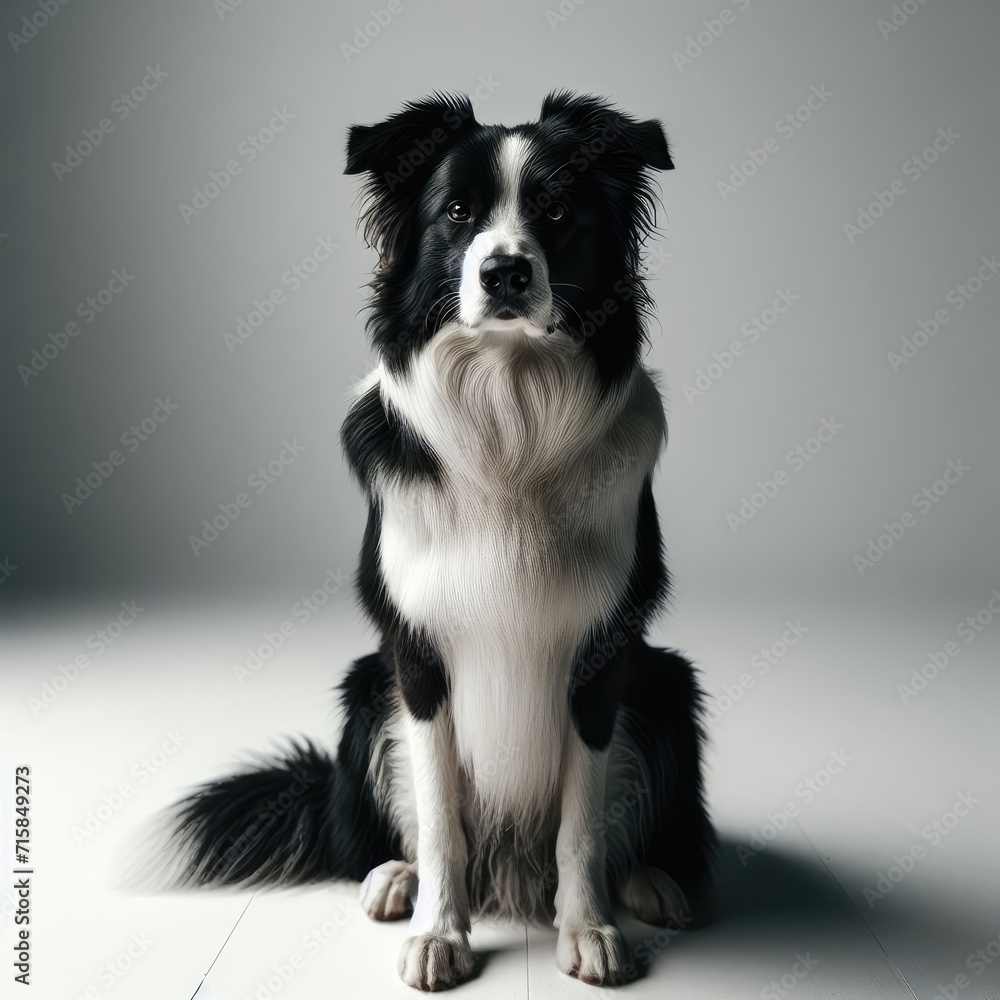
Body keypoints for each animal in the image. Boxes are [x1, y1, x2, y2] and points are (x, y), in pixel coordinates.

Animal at [162, 92, 712, 992]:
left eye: (555, 210)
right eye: (457, 212)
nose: (505, 272)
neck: (509, 406)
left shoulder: (601, 653)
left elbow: (583, 821)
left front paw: (588, 928)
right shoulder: (416, 654)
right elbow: (441, 815)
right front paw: (437, 934)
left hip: (666, 680)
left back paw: (651, 882)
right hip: (364, 687)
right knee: (401, 831)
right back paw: (396, 878)